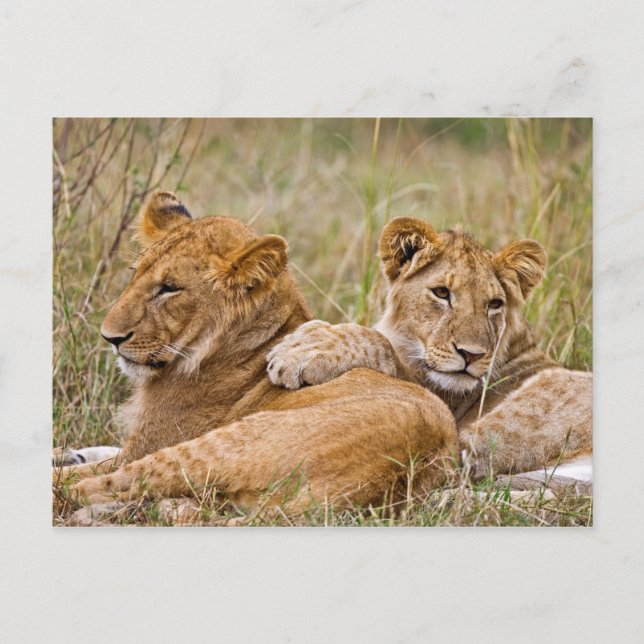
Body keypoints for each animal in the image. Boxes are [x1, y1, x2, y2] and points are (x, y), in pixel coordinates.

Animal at [54, 193, 459, 512]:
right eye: (135, 273)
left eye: (169, 288)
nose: (109, 337)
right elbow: (97, 451)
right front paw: (70, 450)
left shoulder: (146, 444)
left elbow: (91, 468)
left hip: (221, 443)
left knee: (90, 487)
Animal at [267, 217, 592, 485]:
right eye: (441, 293)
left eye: (494, 304)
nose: (471, 355)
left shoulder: (435, 399)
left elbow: (380, 343)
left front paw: (302, 348)